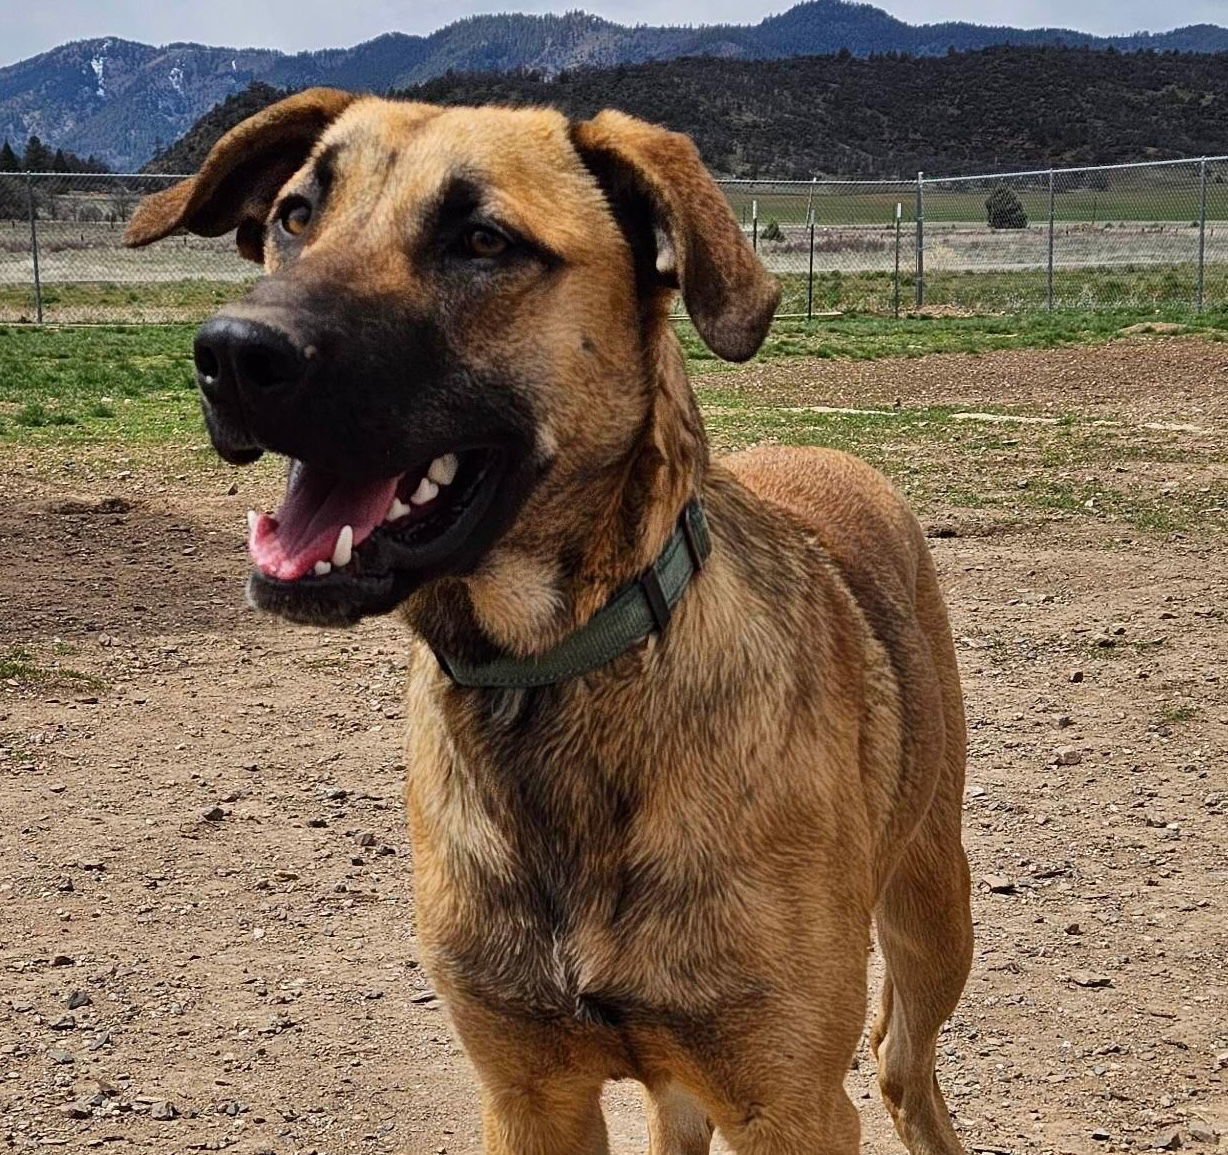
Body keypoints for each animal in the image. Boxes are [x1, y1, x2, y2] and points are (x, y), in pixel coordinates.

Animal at [122, 92, 967, 1153]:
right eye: (294, 215)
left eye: (483, 239)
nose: (230, 353)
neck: (549, 677)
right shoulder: (527, 1090)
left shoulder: (792, 1103)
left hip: (933, 905)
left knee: (905, 1066)